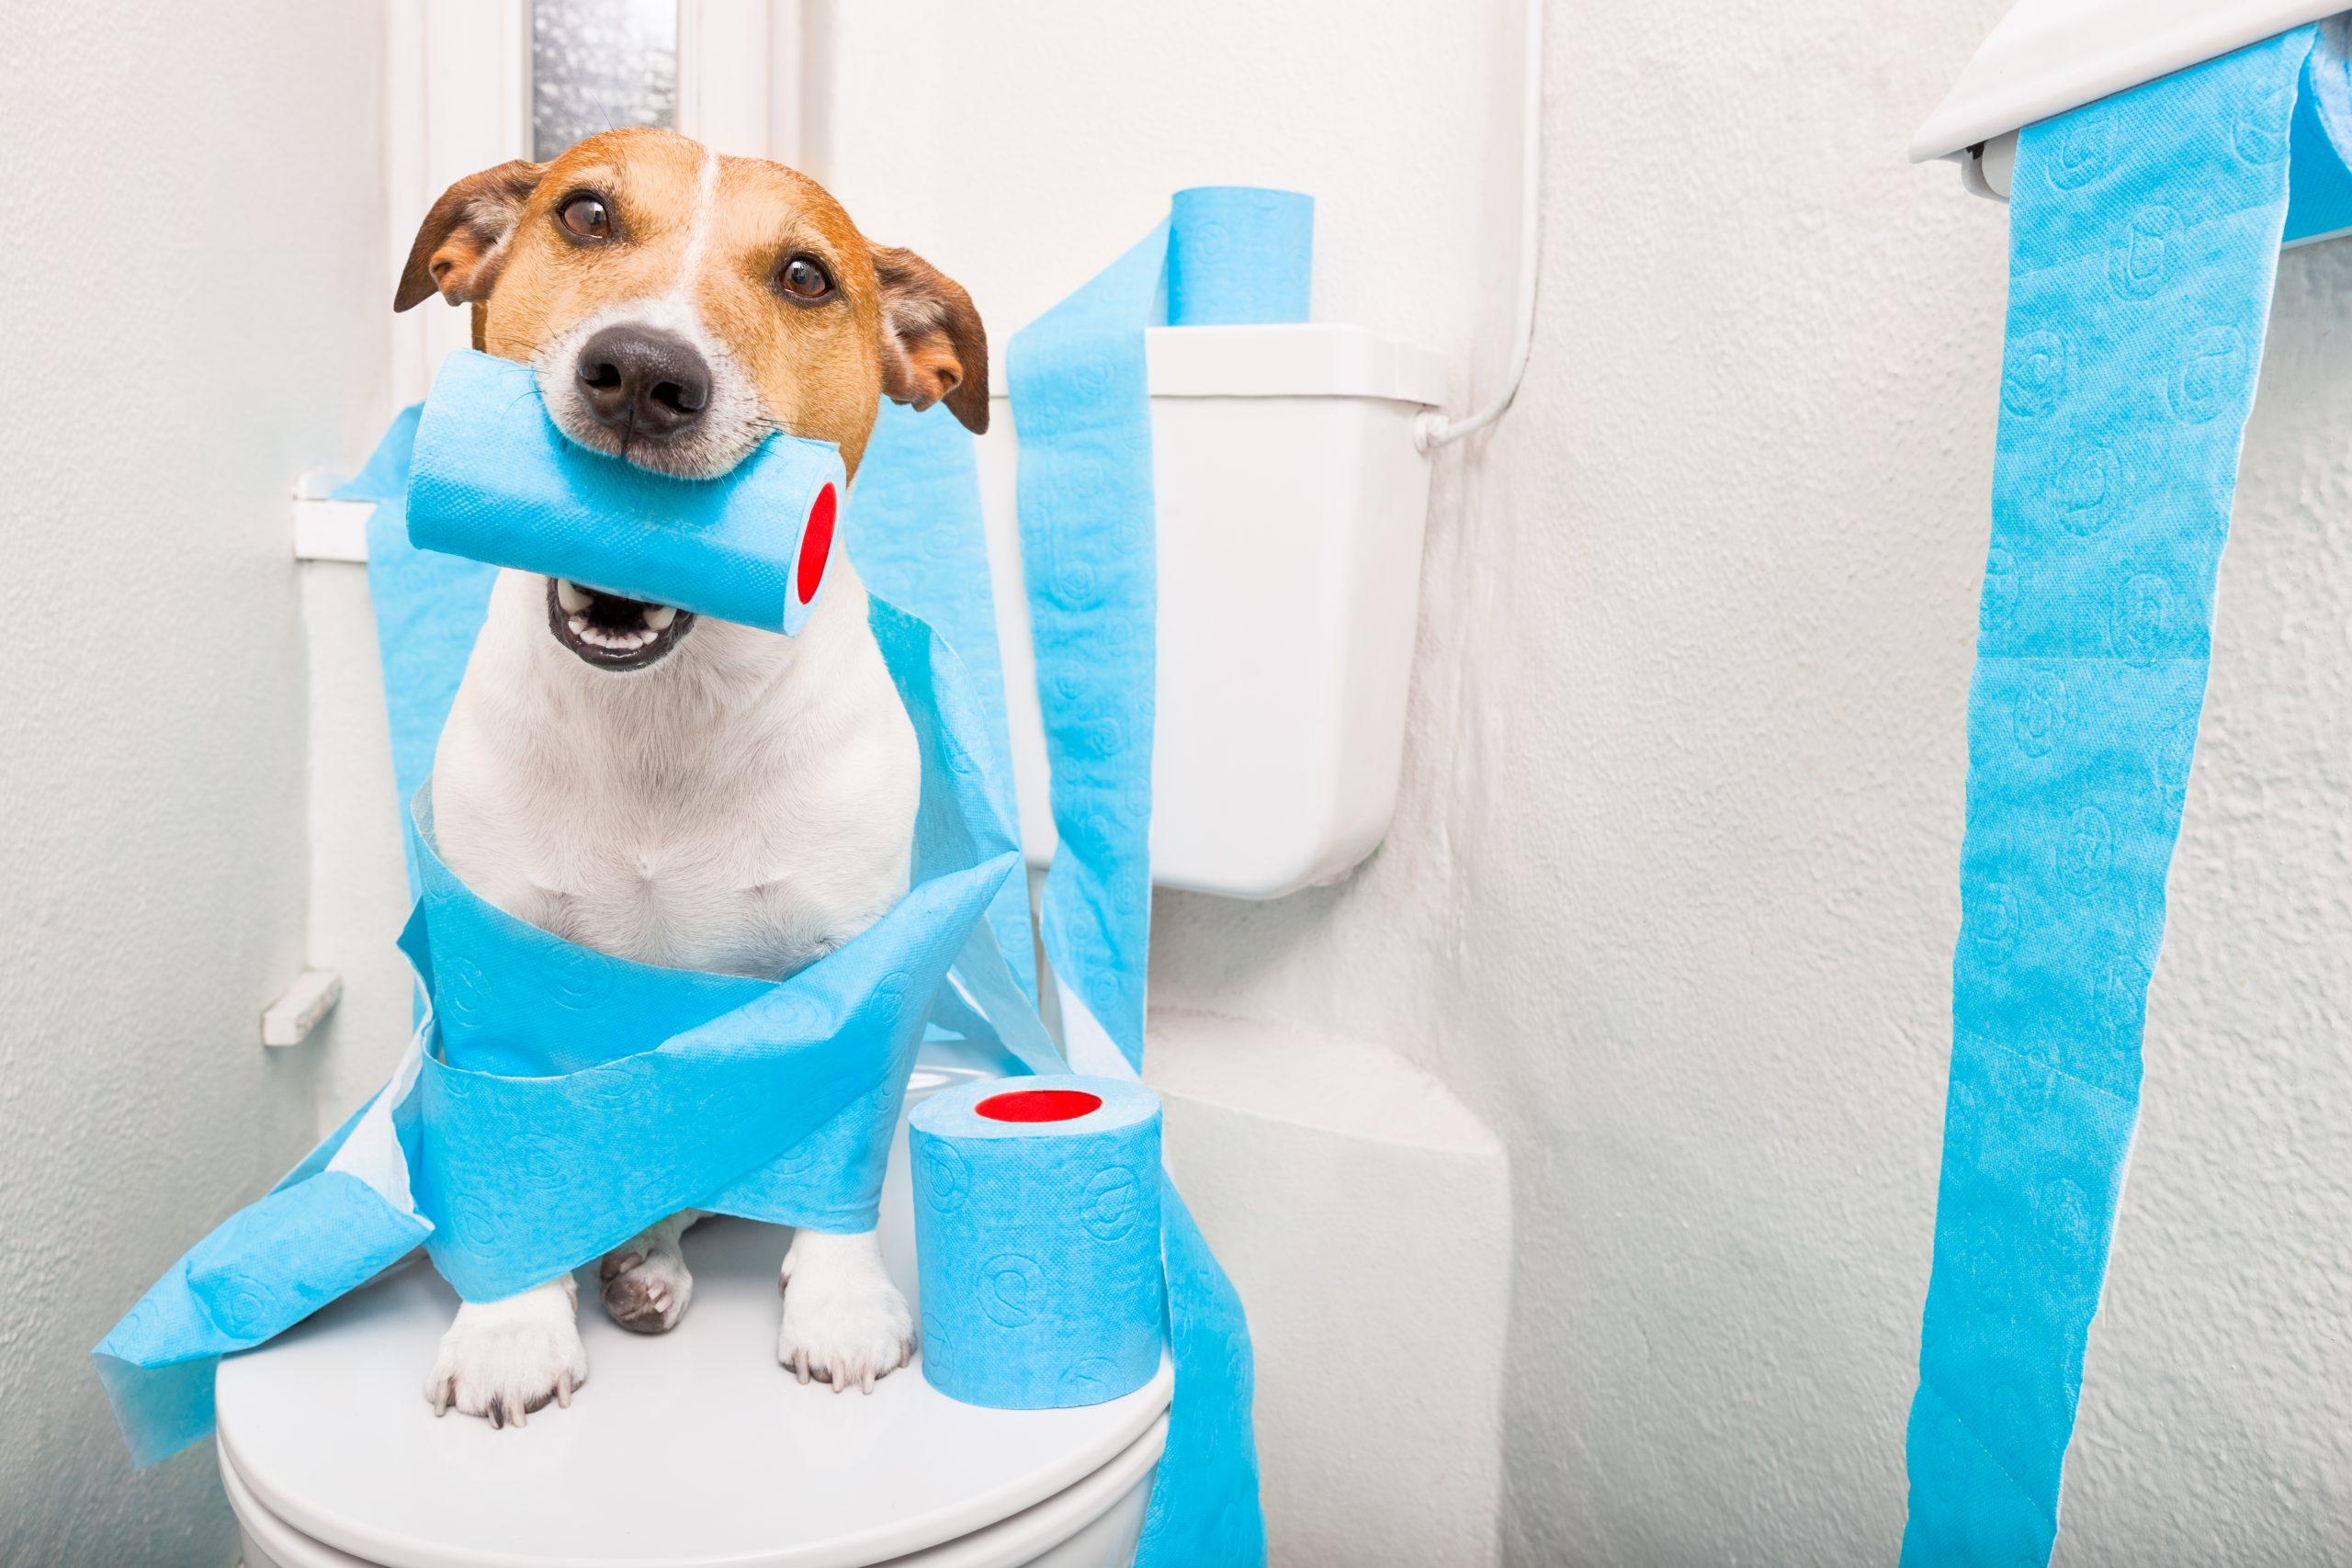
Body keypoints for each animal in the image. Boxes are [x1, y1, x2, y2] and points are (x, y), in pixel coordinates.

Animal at [400, 129, 988, 1429]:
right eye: (585, 214)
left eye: (807, 278)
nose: (642, 373)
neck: (662, 717)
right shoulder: (495, 956)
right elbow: (515, 1160)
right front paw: (513, 1329)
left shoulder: (848, 958)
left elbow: (836, 1146)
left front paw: (840, 1308)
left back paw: (651, 1262)